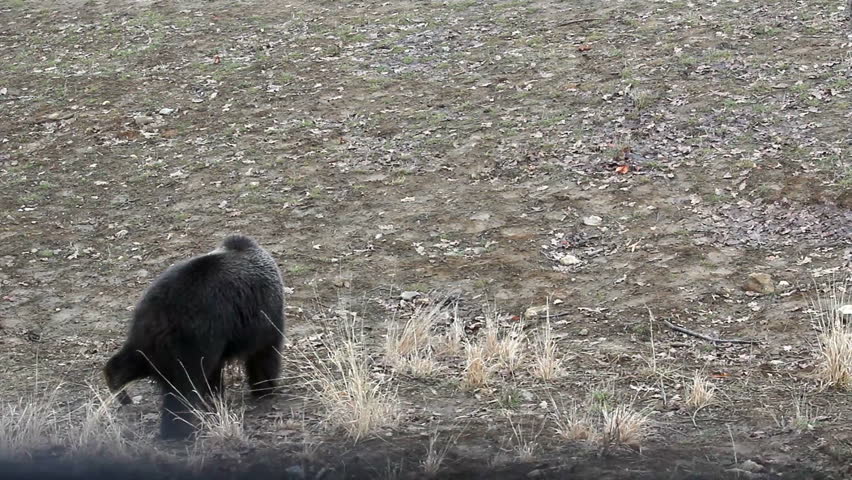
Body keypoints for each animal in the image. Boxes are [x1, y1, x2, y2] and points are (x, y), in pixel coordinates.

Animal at [102, 234, 285, 440]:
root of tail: (162, 314)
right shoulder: (263, 317)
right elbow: (264, 355)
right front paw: (265, 388)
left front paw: (214, 396)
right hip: (192, 338)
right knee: (183, 386)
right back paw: (177, 430)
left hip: (146, 334)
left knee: (132, 360)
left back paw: (119, 388)